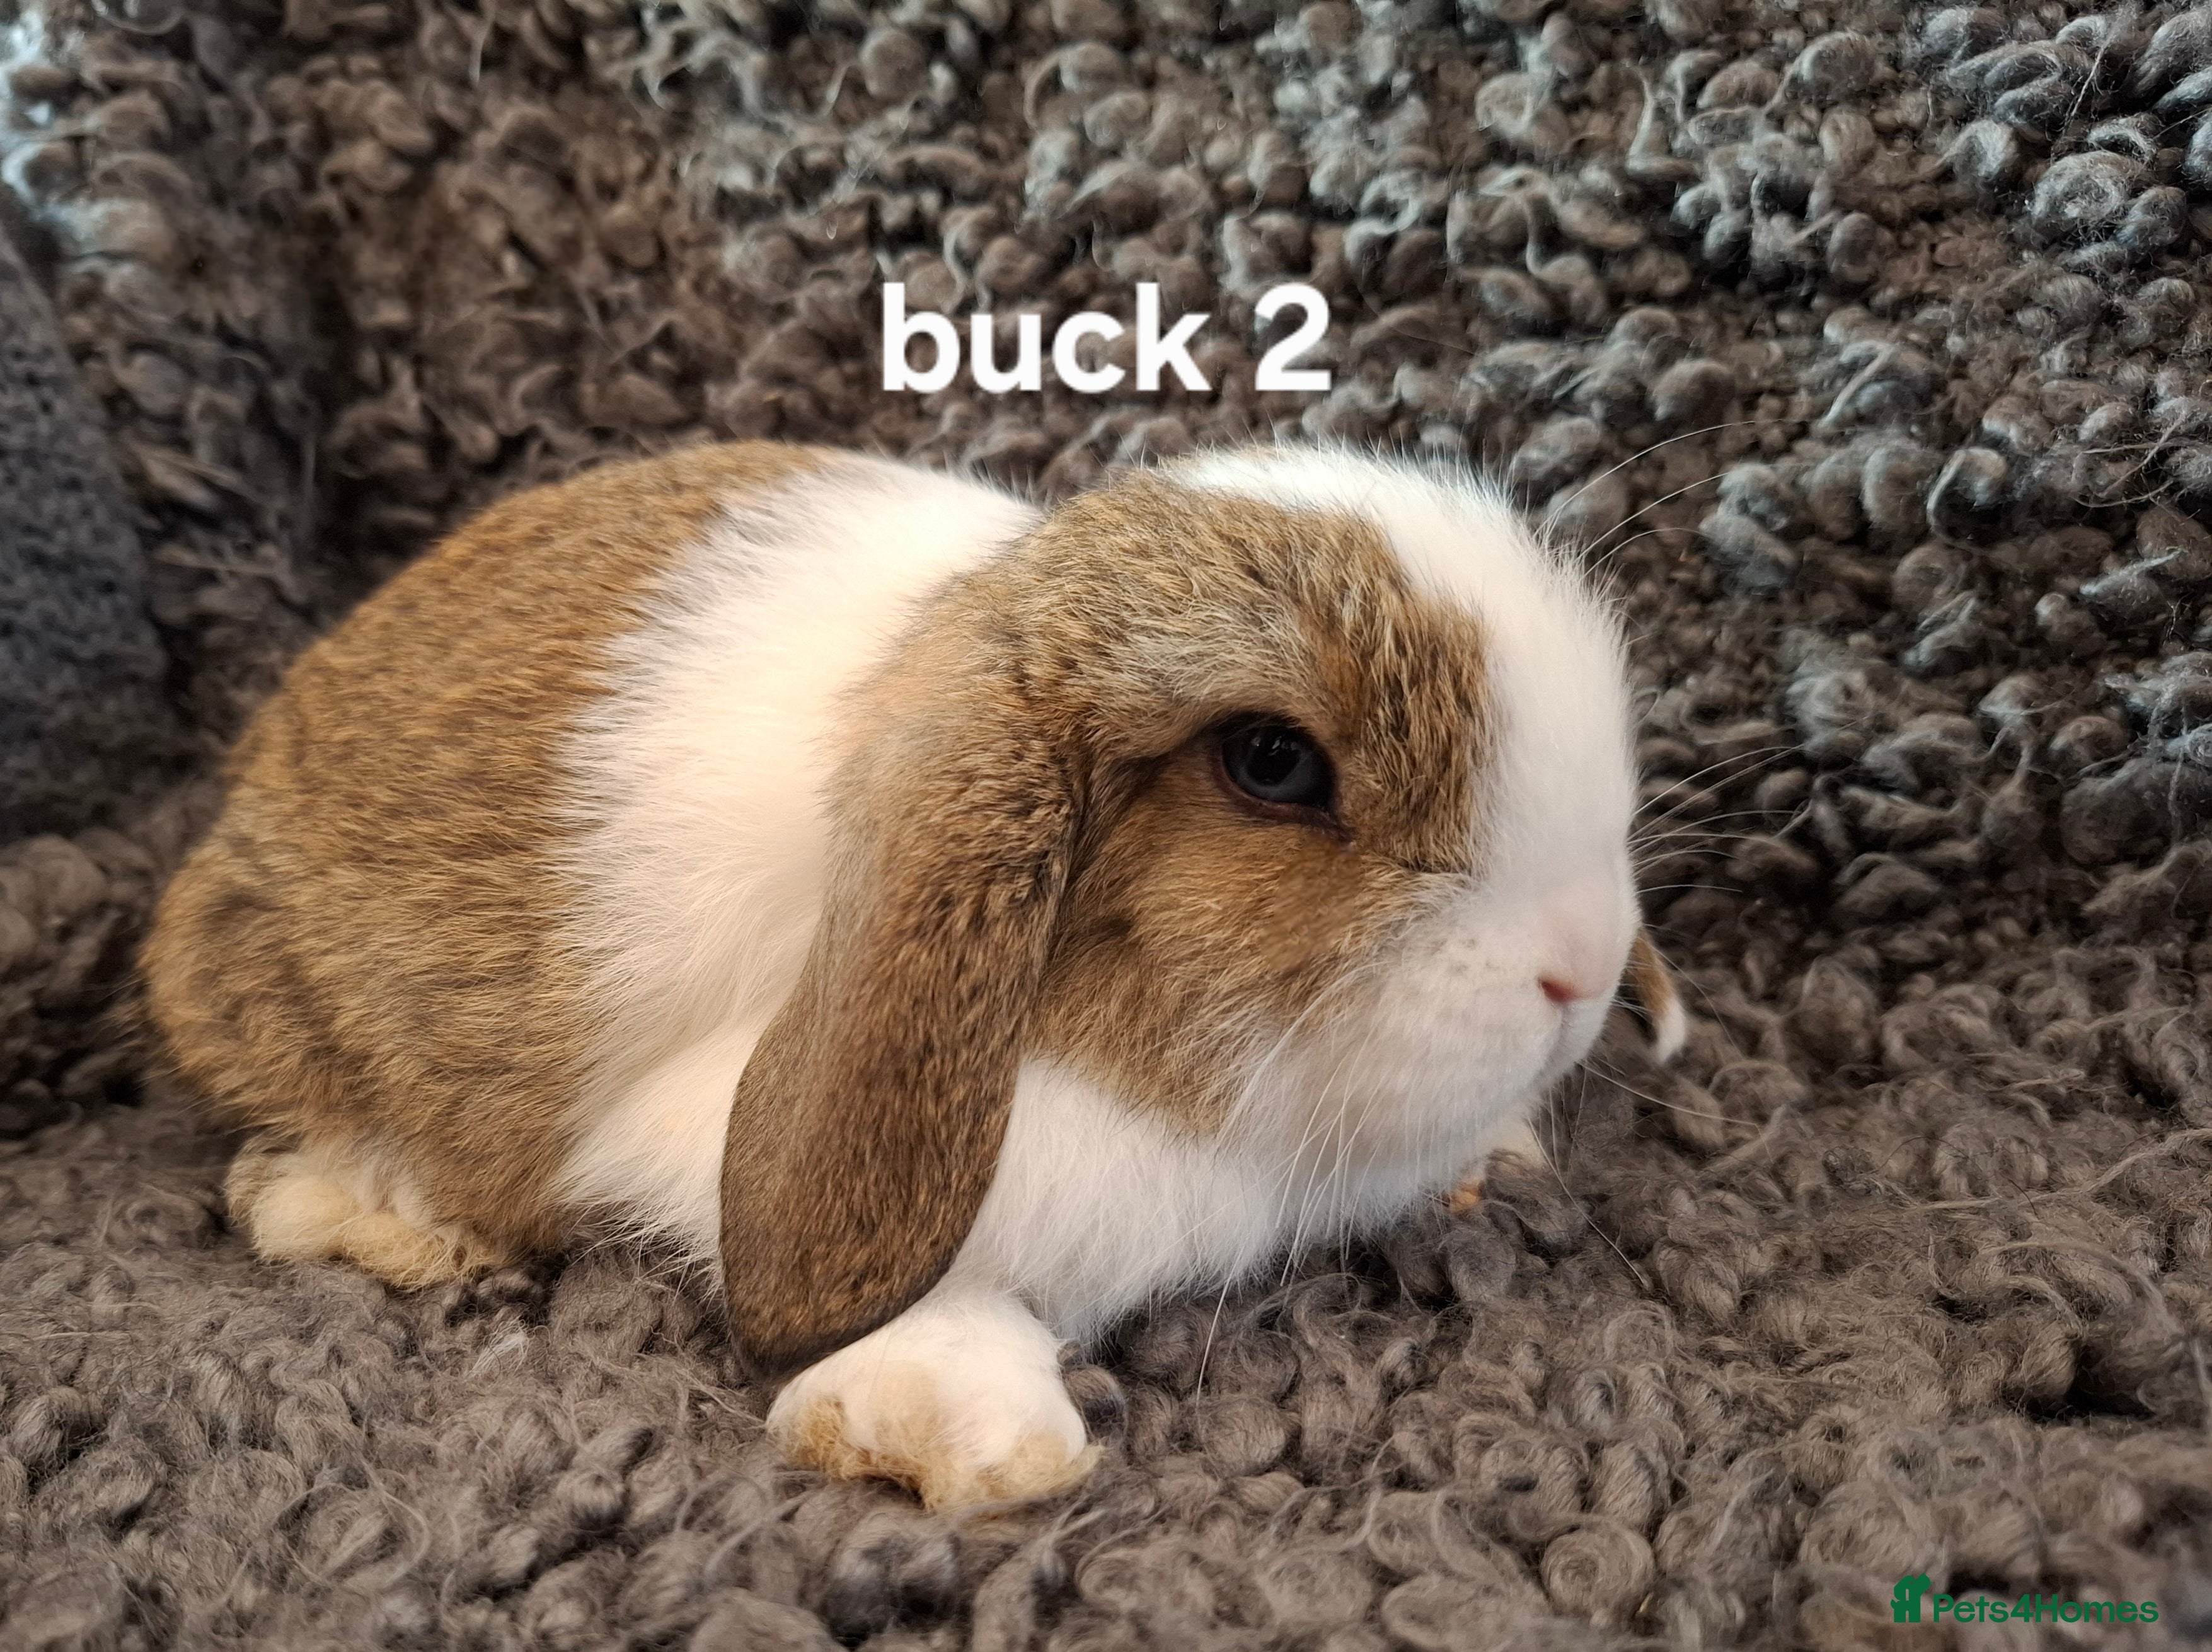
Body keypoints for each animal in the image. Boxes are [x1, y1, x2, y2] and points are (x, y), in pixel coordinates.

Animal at [141, 439, 1684, 1511]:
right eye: (1272, 762)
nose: (1583, 966)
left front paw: (1498, 1154)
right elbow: (929, 1288)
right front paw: (975, 1434)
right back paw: (395, 1218)